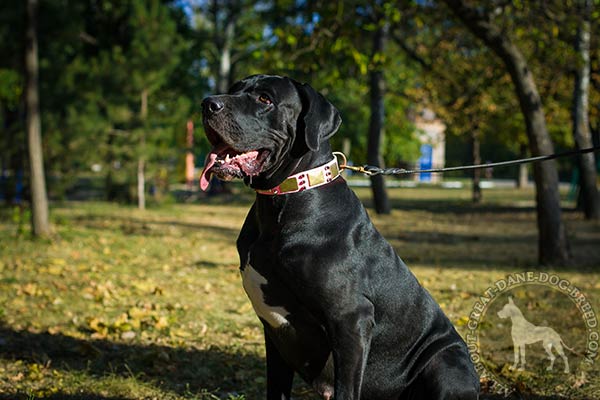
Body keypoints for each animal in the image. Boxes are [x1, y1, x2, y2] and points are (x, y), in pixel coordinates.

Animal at [200, 74, 478, 396]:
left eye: (265, 99)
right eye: (234, 90)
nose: (208, 103)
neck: (284, 199)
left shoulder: (351, 320)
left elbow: (346, 389)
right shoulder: (275, 334)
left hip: (446, 362)